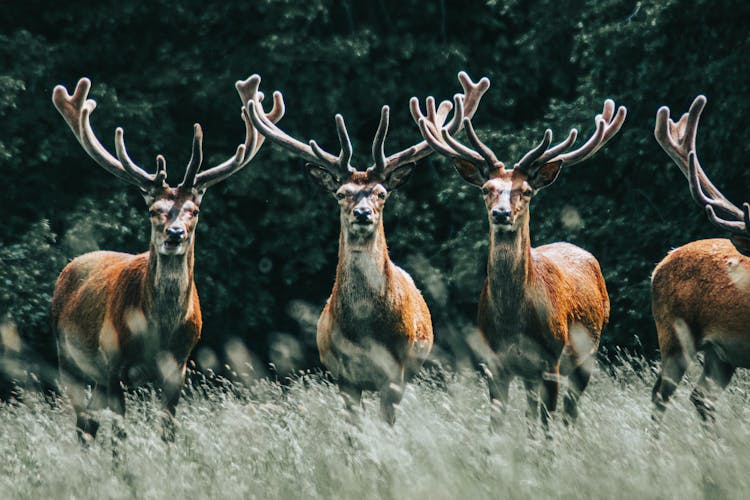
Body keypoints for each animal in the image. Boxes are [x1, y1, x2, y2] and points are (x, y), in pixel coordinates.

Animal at [49, 74, 284, 442]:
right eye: (152, 209)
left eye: (194, 211)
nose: (175, 234)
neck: (157, 334)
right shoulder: (112, 362)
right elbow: (119, 433)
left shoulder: (179, 367)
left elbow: (168, 429)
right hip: (68, 358)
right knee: (84, 421)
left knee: (89, 420)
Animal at [250, 72, 490, 424]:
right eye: (341, 193)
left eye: (381, 193)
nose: (362, 214)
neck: (365, 330)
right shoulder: (344, 376)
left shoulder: (395, 372)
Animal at [418, 95, 628, 424]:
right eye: (487, 189)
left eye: (526, 190)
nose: (501, 213)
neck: (513, 322)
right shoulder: (495, 363)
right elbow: (498, 424)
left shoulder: (551, 360)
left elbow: (547, 424)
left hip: (588, 353)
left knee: (569, 412)